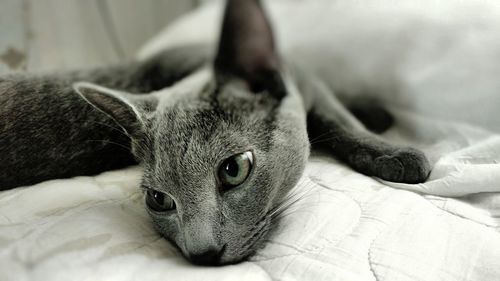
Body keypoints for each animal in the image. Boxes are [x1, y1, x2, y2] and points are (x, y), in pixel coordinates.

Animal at [0, 0, 430, 264]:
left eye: (233, 170)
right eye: (159, 200)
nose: (202, 253)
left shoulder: (303, 77)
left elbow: (336, 116)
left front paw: (390, 147)